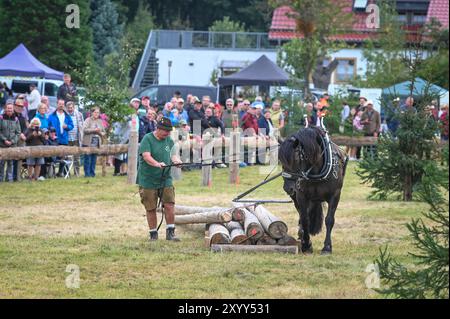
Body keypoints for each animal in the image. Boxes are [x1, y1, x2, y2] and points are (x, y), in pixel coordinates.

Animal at [280, 127, 350, 255]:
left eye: (296, 159)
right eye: (280, 161)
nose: (288, 188)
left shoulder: (335, 195)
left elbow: (329, 220)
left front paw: (327, 247)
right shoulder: (301, 196)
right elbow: (304, 219)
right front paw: (307, 245)